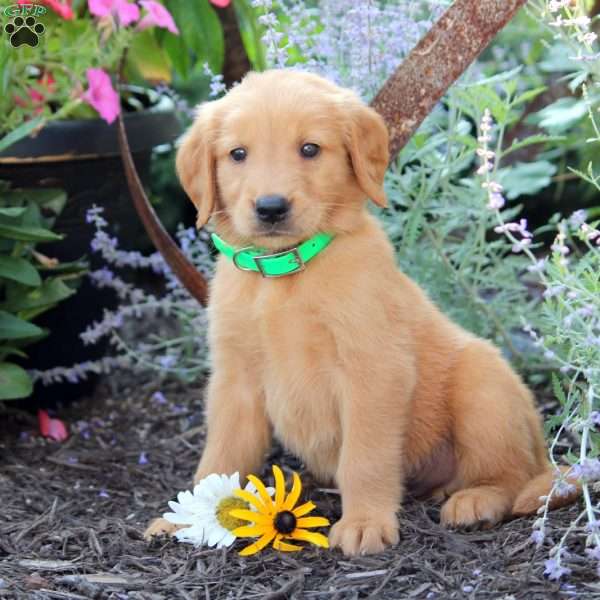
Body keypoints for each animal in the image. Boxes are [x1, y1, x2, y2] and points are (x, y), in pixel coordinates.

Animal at [144, 69, 576, 552]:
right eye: (237, 154)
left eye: (310, 149)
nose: (271, 207)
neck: (283, 273)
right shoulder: (234, 380)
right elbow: (218, 458)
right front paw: (186, 520)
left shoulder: (373, 370)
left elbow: (364, 458)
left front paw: (365, 521)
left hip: (483, 388)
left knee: (512, 475)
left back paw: (477, 500)